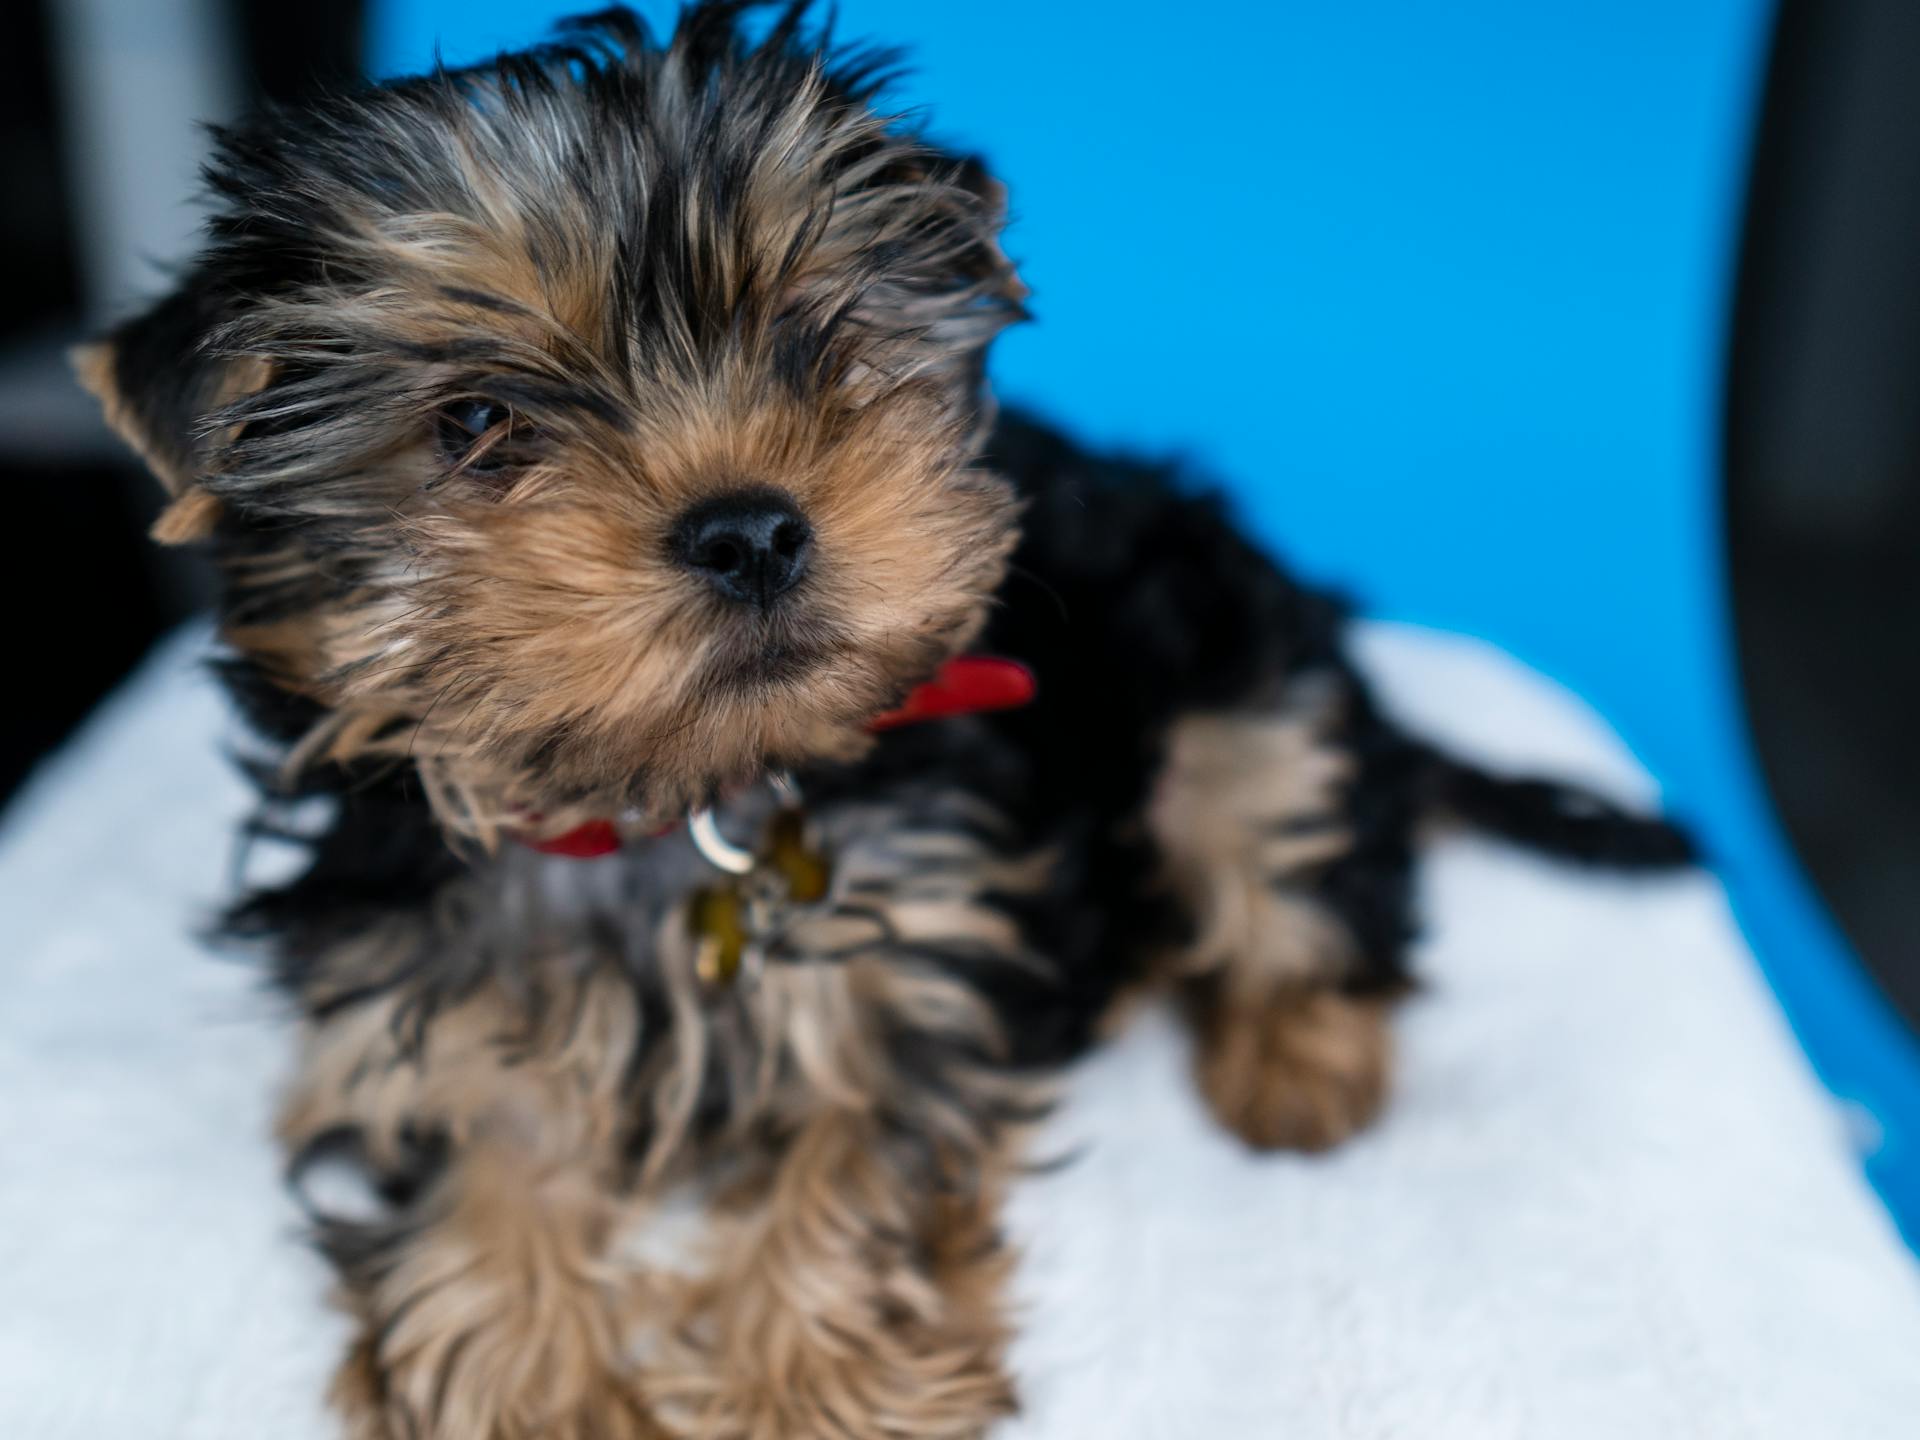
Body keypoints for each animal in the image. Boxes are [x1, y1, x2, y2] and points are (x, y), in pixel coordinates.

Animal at [82, 5, 1689, 1436]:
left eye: (812, 342)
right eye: (477, 424)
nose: (748, 529)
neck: (665, 808)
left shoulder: (920, 944)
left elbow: (860, 1161)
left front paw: (808, 1387)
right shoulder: (415, 1008)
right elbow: (485, 1179)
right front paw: (540, 1392)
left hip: (1237, 665)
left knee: (1289, 849)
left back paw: (1294, 1066)